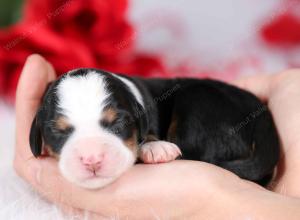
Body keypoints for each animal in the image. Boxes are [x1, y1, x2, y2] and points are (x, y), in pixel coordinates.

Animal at [29, 68, 280, 188]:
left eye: (119, 123)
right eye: (58, 132)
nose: (92, 159)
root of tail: (262, 114)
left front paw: (155, 147)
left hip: (197, 101)